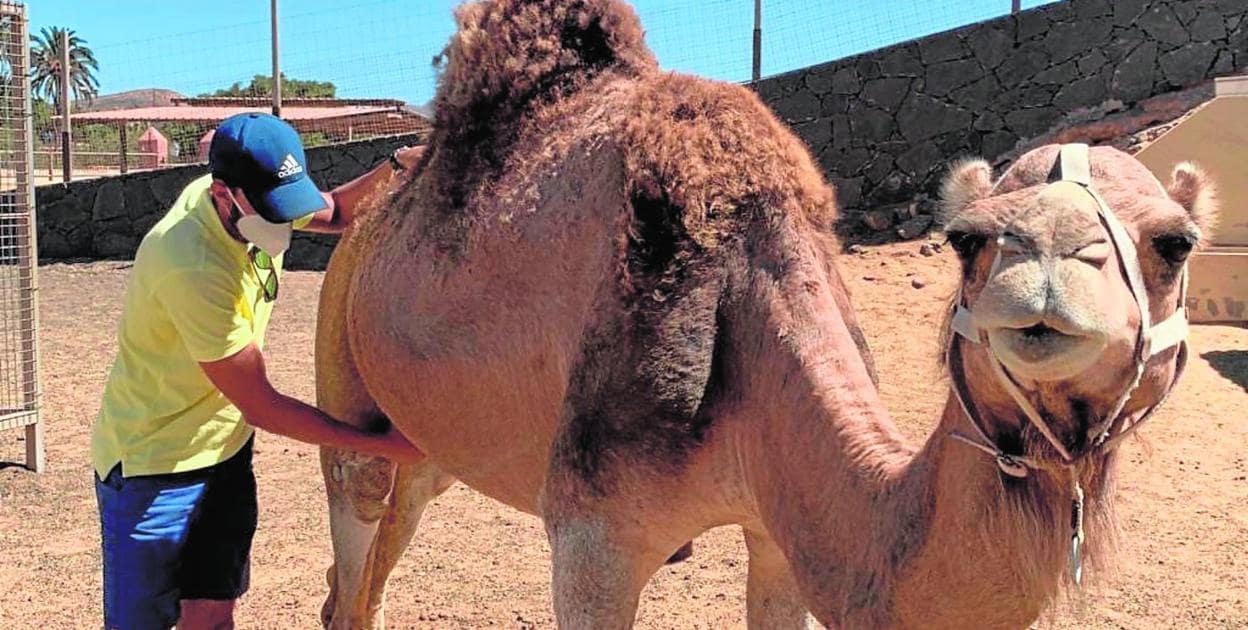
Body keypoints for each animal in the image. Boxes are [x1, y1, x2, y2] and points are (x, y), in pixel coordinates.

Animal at [314, 2, 1218, 626]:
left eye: (1175, 244)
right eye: (965, 240)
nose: (1046, 270)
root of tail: (361, 218)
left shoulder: (781, 533)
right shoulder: (589, 539)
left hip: (429, 445)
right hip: (343, 378)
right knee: (355, 531)